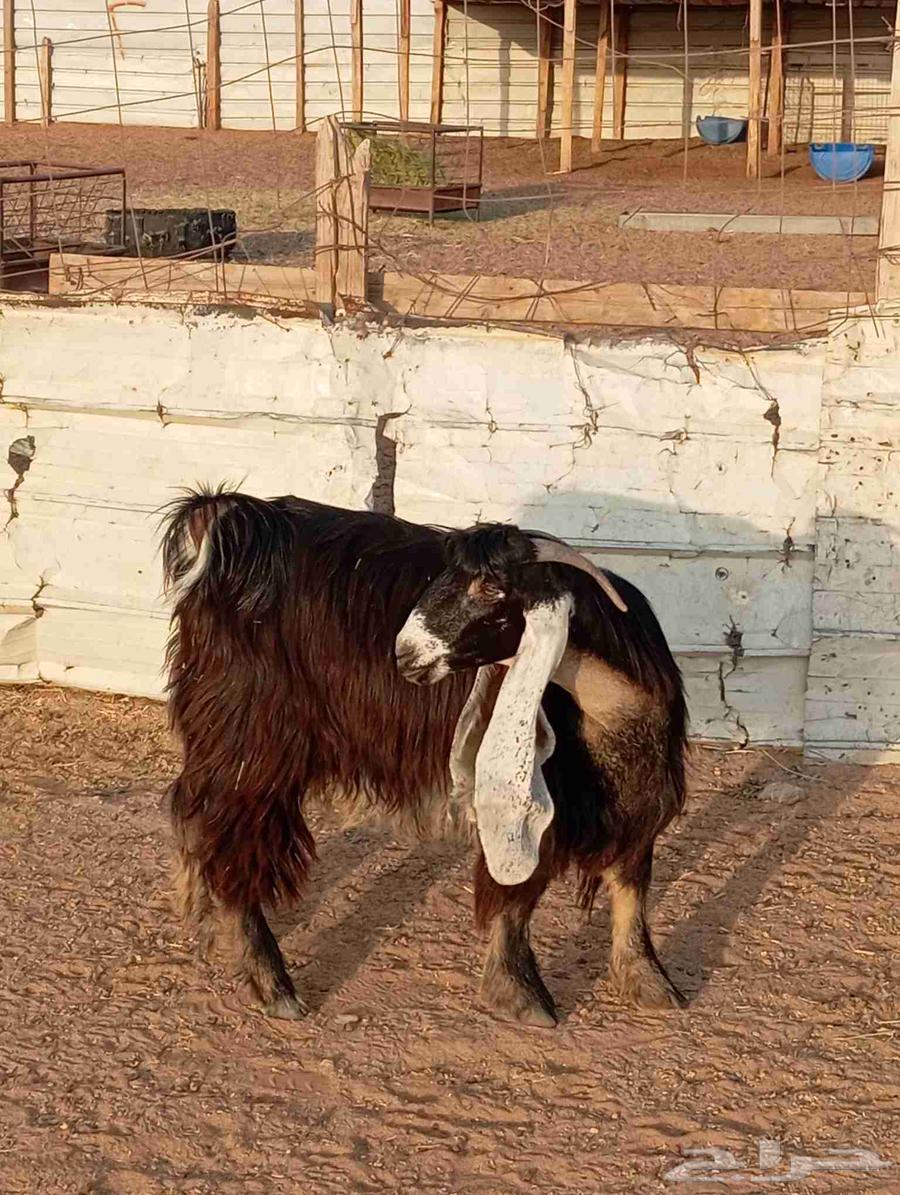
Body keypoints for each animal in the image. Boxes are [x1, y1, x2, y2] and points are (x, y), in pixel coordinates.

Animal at [162, 488, 688, 1026]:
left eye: (491, 587)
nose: (404, 653)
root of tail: (236, 519)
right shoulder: (527, 808)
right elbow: (518, 897)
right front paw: (521, 994)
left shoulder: (643, 796)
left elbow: (632, 885)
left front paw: (649, 981)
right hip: (252, 739)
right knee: (231, 836)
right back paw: (271, 983)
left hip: (220, 733)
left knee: (193, 808)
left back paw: (204, 919)